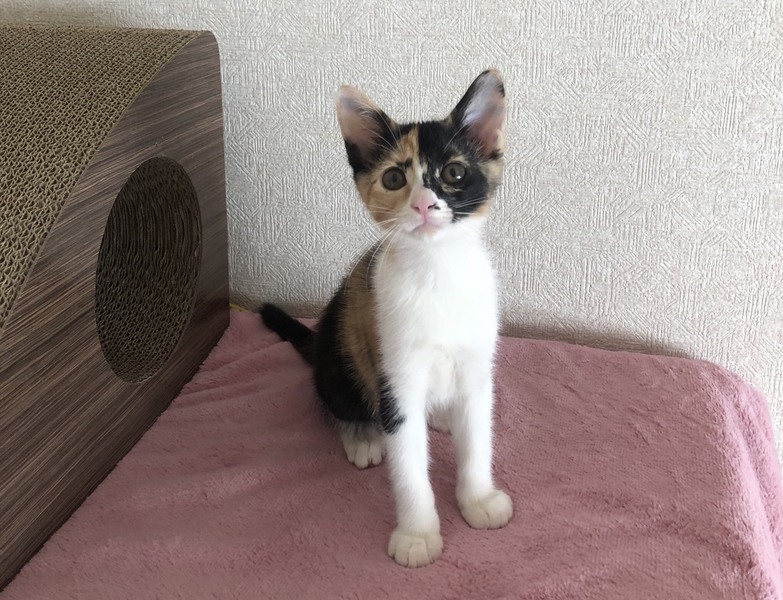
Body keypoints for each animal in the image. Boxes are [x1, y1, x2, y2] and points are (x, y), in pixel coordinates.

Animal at [260, 69, 512, 568]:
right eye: (395, 178)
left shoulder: (478, 366)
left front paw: (478, 498)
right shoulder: (397, 376)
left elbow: (478, 437)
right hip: (341, 360)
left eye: (454, 173)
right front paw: (417, 534)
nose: (423, 204)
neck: (437, 272)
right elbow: (409, 464)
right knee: (335, 403)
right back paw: (361, 436)